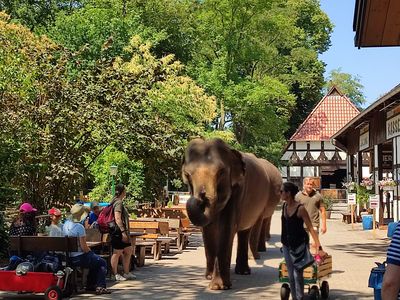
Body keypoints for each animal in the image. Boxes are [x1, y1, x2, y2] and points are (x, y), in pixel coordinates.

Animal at [182, 138, 282, 288]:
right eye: (187, 175)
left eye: (221, 172)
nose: (202, 196)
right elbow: (207, 230)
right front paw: (209, 277)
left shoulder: (239, 190)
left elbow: (227, 229)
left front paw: (218, 286)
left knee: (246, 230)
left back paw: (244, 271)